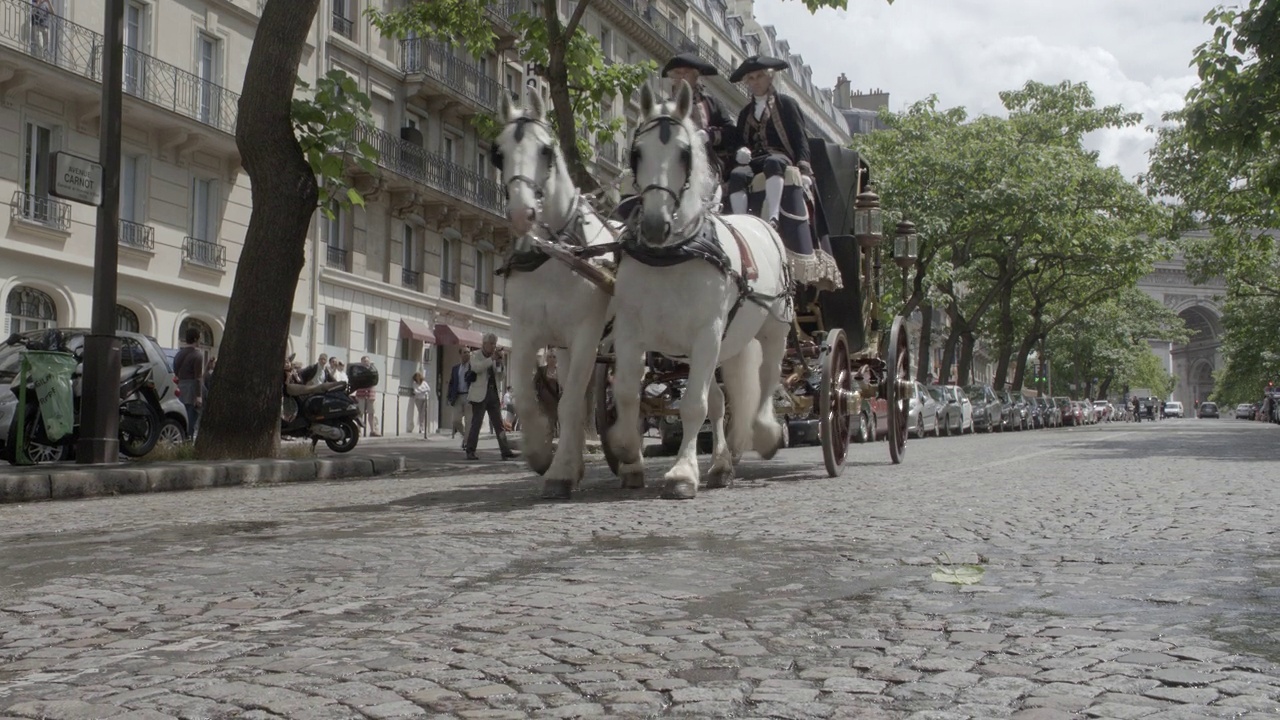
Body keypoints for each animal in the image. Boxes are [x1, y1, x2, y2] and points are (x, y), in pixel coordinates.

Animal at [491, 92, 616, 497]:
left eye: (545, 150)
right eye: (498, 153)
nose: (522, 213)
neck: (553, 256)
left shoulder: (586, 335)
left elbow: (570, 402)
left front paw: (559, 469)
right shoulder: (526, 334)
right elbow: (526, 397)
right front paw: (541, 453)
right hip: (564, 345)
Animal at [606, 82, 793, 499]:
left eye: (684, 153)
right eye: (636, 152)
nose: (655, 224)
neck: (672, 253)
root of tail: (764, 222)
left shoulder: (705, 333)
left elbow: (693, 404)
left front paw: (681, 474)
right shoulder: (630, 332)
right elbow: (626, 391)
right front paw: (626, 450)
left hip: (773, 328)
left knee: (768, 379)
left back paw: (765, 433)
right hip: (724, 345)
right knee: (723, 402)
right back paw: (722, 464)